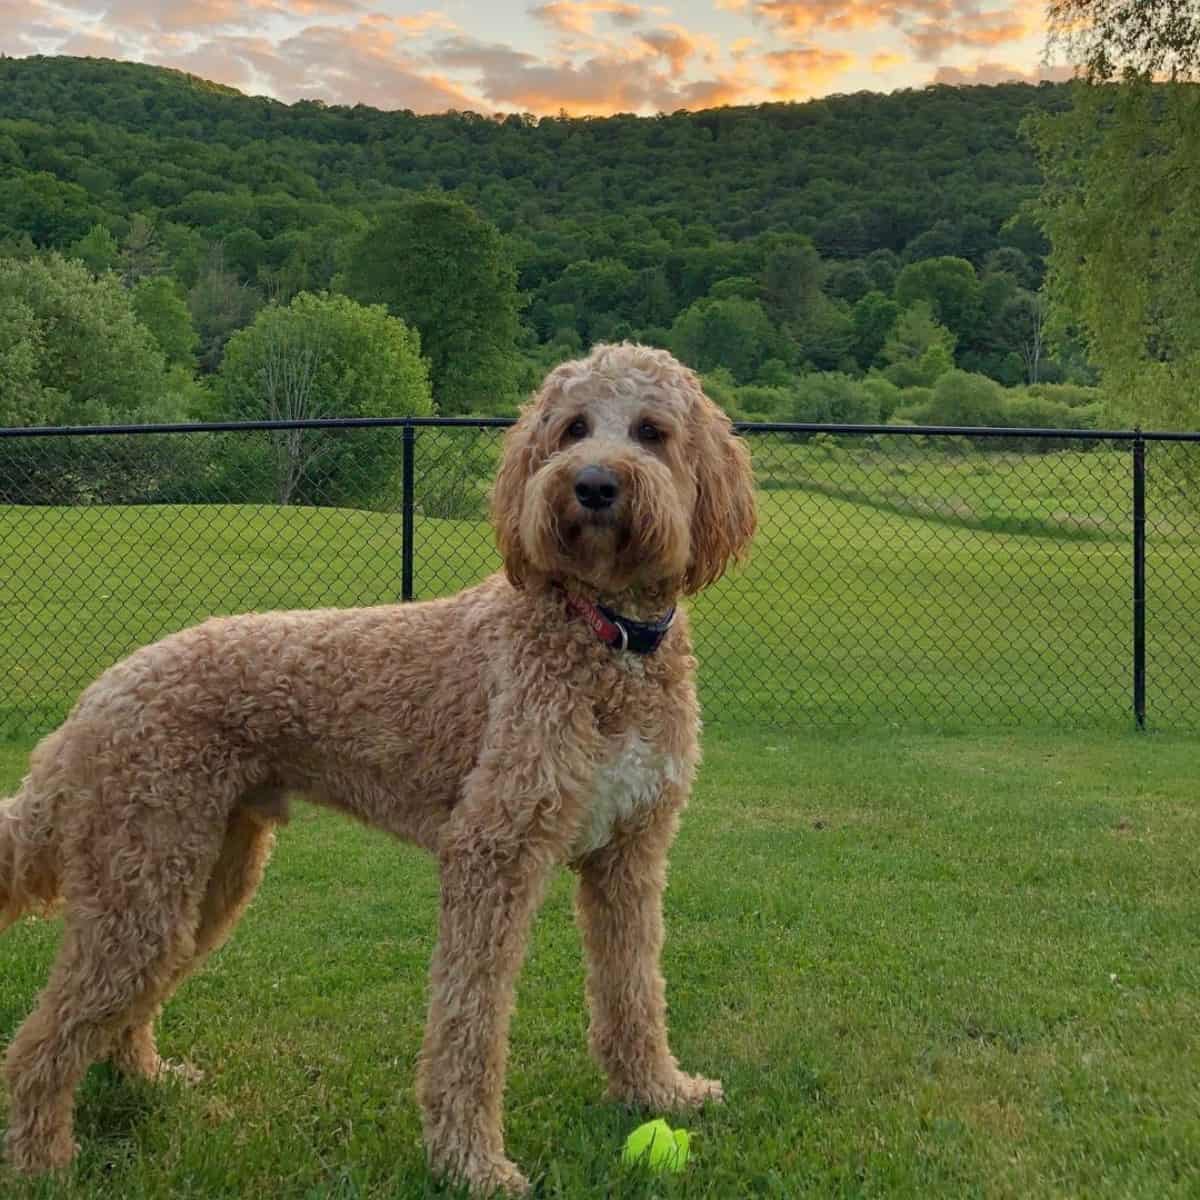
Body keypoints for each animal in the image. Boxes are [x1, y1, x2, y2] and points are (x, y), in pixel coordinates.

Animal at [0, 343, 753, 1195]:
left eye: (653, 431)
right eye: (572, 428)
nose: (592, 484)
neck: (604, 637)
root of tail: (94, 699)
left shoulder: (631, 854)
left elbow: (634, 988)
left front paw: (658, 1092)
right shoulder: (493, 853)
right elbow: (470, 1023)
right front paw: (471, 1163)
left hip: (202, 876)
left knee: (119, 1010)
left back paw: (145, 1078)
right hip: (143, 886)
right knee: (40, 1039)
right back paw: (43, 1161)